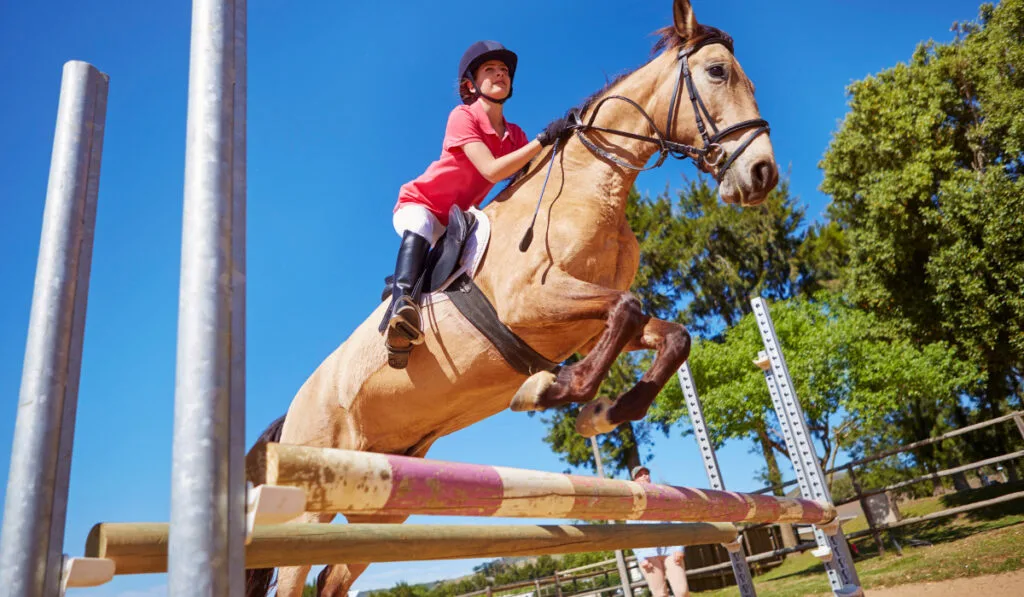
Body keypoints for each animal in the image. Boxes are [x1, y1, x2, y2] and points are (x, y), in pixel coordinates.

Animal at [245, 2, 774, 593]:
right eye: (717, 73)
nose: (762, 174)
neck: (592, 187)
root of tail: (292, 411)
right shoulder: (532, 303)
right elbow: (628, 307)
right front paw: (551, 390)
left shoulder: (585, 320)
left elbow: (670, 334)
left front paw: (605, 411)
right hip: (310, 492)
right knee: (295, 572)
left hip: (383, 494)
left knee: (332, 576)